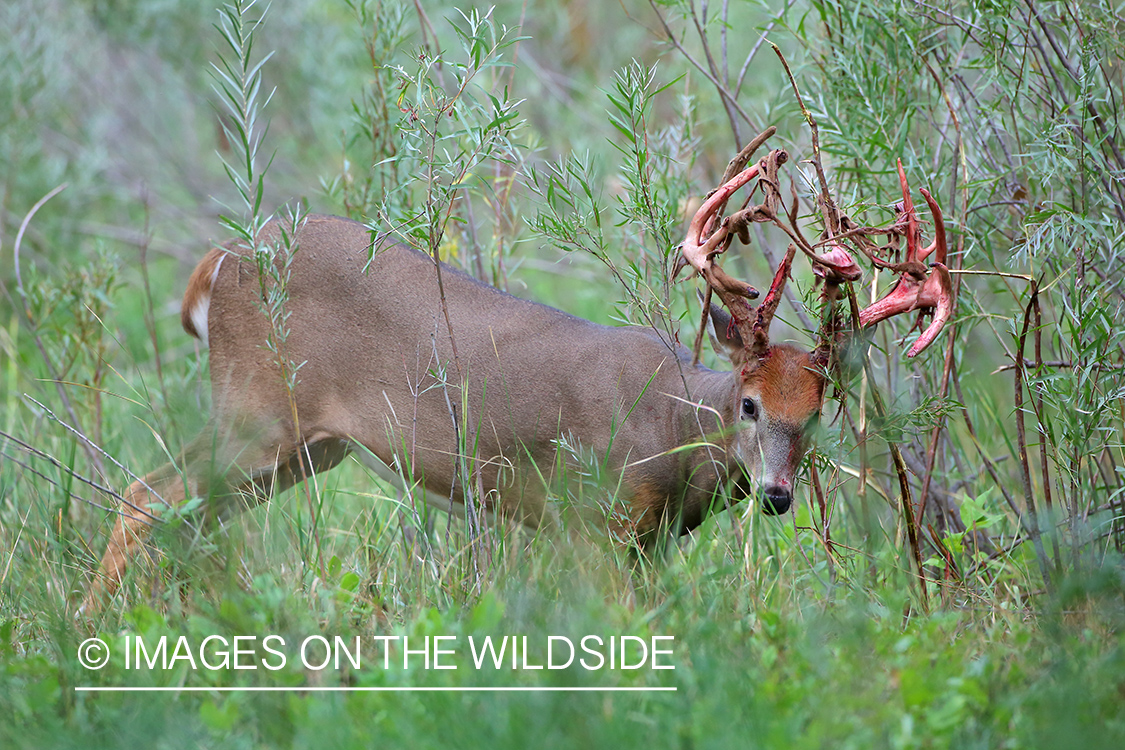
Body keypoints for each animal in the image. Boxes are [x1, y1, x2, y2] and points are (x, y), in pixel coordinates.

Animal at [83, 139, 954, 611]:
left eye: (813, 415)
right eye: (746, 404)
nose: (775, 495)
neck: (670, 428)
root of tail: (221, 261)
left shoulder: (646, 543)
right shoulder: (596, 517)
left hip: (305, 447)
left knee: (184, 517)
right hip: (254, 410)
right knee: (144, 495)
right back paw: (89, 629)